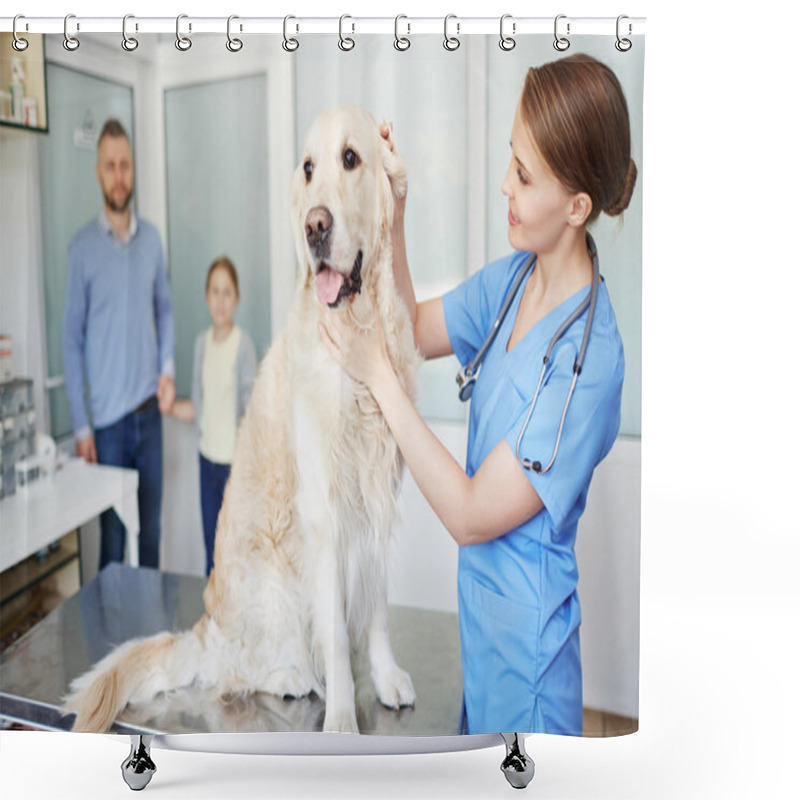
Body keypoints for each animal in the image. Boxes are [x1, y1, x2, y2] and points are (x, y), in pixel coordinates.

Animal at [64, 106, 418, 732]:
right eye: (308, 168)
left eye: (351, 158)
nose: (315, 226)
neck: (354, 338)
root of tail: (204, 633)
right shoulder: (326, 511)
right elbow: (336, 636)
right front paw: (343, 719)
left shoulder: (375, 494)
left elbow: (375, 608)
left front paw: (385, 675)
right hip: (272, 583)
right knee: (236, 672)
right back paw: (291, 676)